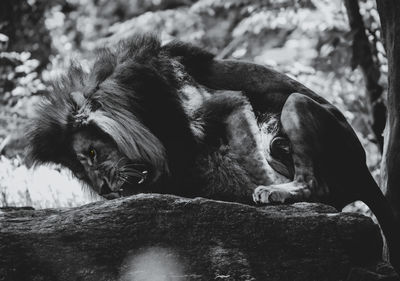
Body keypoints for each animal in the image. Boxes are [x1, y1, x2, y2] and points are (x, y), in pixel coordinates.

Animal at [26, 33, 398, 272]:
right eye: (82, 172)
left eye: (92, 153)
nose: (103, 190)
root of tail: (365, 170)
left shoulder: (227, 104)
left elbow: (247, 162)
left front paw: (251, 193)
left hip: (295, 107)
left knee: (315, 184)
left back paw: (278, 192)